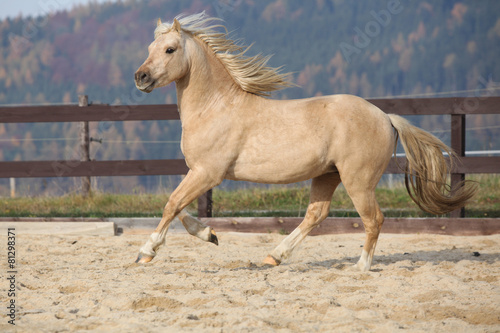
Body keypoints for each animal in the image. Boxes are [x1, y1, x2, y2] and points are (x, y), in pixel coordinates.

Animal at [134, 13, 476, 272]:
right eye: (149, 46)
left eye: (170, 49)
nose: (140, 77)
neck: (216, 106)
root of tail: (386, 117)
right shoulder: (199, 172)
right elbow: (178, 207)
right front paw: (210, 235)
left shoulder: (208, 173)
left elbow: (172, 204)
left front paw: (146, 252)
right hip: (327, 175)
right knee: (316, 215)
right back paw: (274, 256)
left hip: (359, 181)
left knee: (373, 219)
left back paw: (360, 267)